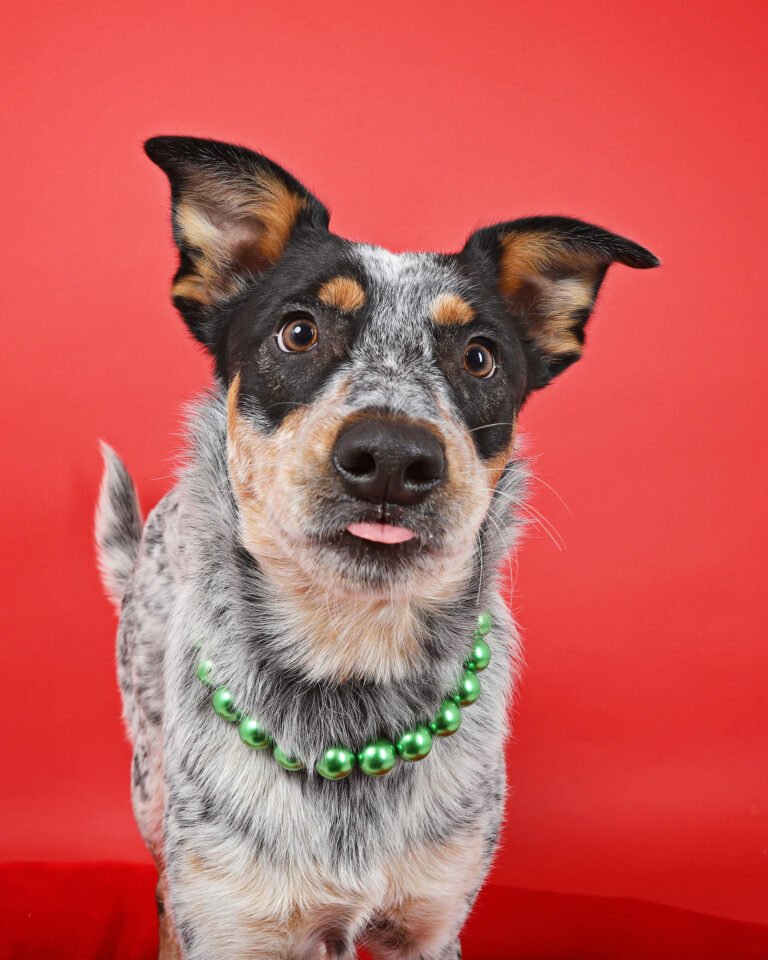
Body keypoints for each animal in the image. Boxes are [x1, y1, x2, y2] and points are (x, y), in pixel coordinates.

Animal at [96, 135, 660, 960]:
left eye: (480, 357)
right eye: (298, 331)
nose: (393, 456)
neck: (353, 657)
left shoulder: (431, 923)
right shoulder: (231, 921)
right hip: (149, 782)